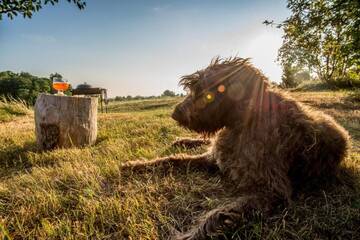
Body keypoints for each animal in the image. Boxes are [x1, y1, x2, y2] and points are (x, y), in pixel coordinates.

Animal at [122, 57, 350, 239]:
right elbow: (171, 160)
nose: (175, 113)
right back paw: (181, 140)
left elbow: (219, 214)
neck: (242, 124)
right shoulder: (213, 158)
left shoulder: (272, 190)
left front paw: (189, 235)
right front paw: (135, 165)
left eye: (203, 91)